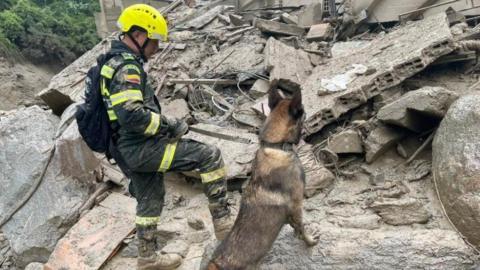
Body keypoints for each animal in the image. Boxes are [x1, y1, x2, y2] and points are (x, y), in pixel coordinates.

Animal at [207, 88, 316, 270]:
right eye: (303, 113)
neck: (275, 145)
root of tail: (214, 263)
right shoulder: (296, 204)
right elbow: (302, 227)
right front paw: (310, 241)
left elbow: (296, 227)